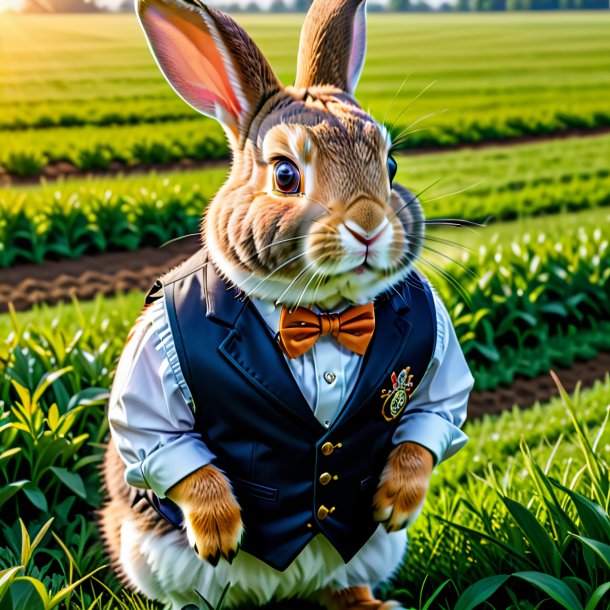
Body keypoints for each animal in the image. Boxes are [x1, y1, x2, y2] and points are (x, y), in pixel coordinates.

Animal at [98, 1, 470, 608]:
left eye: (390, 167)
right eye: (285, 174)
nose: (369, 226)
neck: (323, 314)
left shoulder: (438, 362)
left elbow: (431, 417)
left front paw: (396, 502)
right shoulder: (152, 373)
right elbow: (165, 444)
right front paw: (219, 532)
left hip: (367, 555)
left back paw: (370, 602)